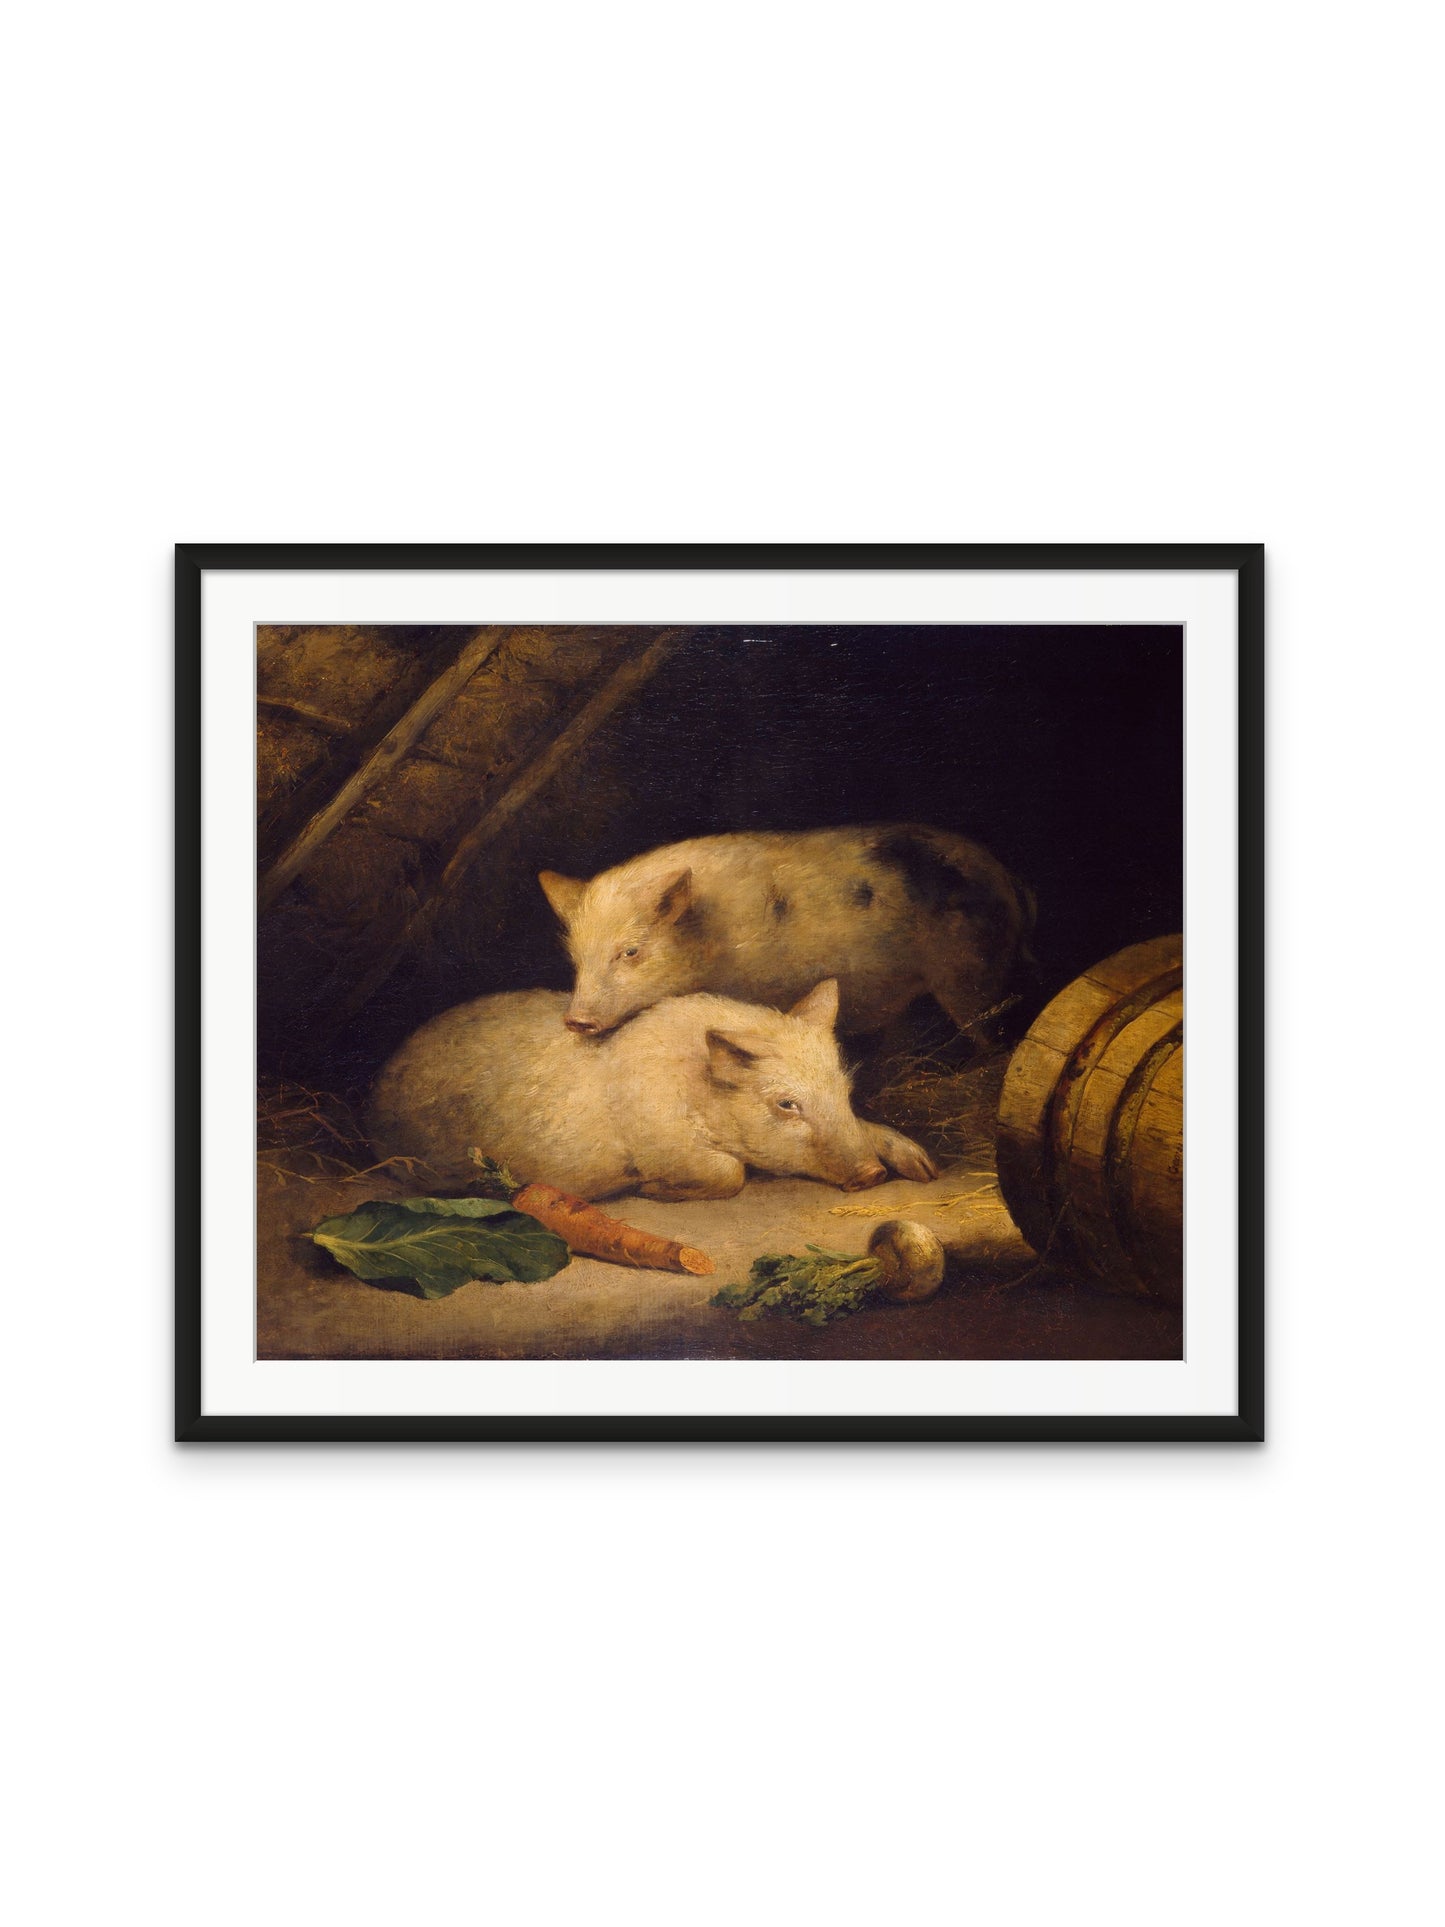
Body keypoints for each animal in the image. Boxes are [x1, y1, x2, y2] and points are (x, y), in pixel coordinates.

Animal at [366, 978, 936, 1200]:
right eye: (786, 1104)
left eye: (844, 1090)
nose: (871, 1175)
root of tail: (374, 1093)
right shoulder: (659, 1142)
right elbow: (729, 1173)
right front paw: (648, 1190)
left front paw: (923, 1167)